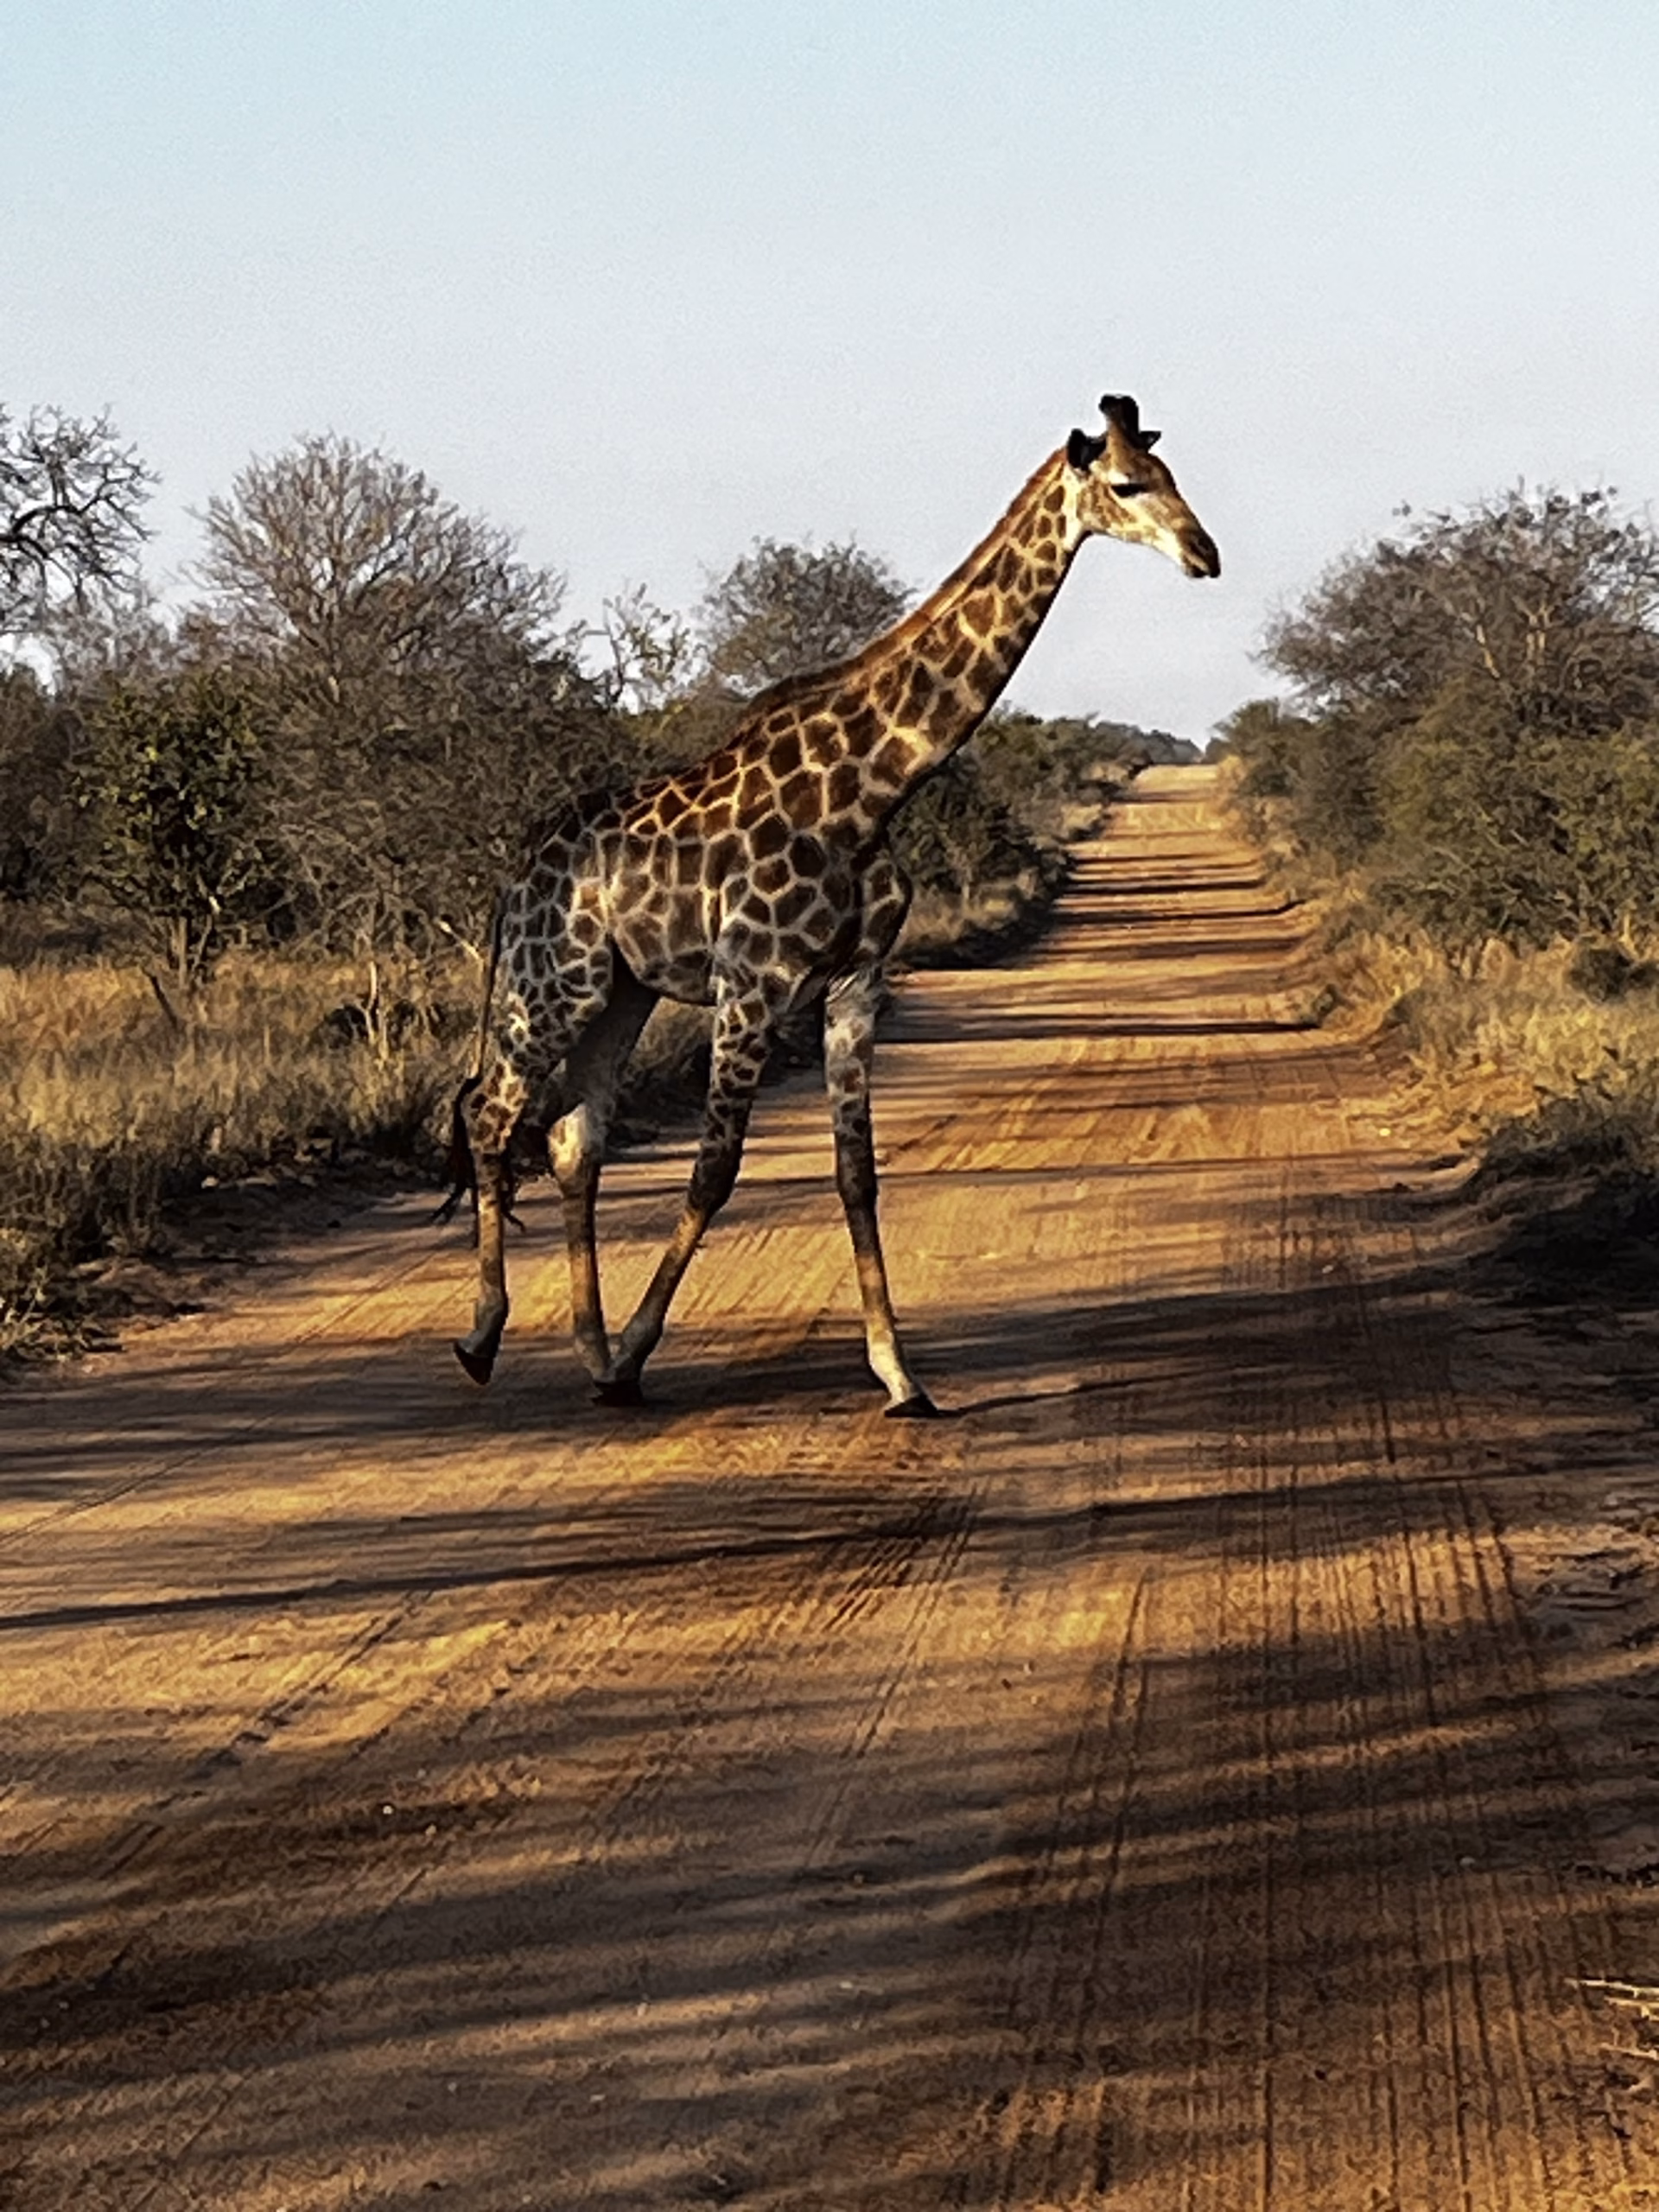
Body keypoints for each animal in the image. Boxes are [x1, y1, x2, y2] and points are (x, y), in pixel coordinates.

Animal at [452, 392, 1219, 1414]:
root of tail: (517, 877)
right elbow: (715, 1170)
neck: (870, 790)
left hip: (621, 993)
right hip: (555, 984)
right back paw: (485, 1339)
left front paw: (901, 1376)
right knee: (493, 1115)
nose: (1206, 554)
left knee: (576, 1139)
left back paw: (588, 1348)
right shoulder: (750, 986)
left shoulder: (857, 983)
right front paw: (646, 1351)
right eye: (1129, 485)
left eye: (1175, 475)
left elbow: (859, 1174)